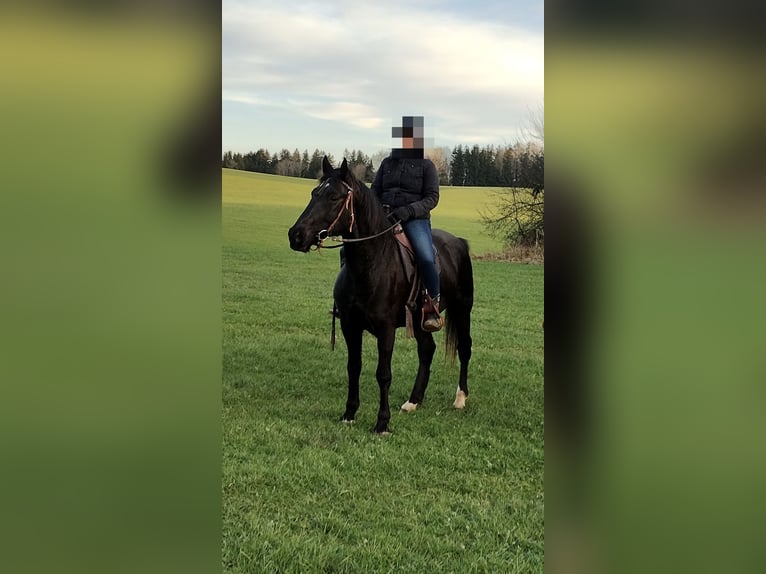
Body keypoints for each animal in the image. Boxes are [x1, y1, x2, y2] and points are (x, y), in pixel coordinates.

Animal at [288, 157, 474, 434]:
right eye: (314, 193)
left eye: (333, 197)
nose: (296, 235)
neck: (372, 264)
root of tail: (459, 242)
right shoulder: (349, 325)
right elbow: (354, 367)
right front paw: (349, 413)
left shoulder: (386, 330)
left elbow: (383, 374)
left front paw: (382, 423)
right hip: (420, 319)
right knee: (427, 350)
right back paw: (413, 401)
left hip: (462, 310)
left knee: (464, 348)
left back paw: (460, 398)